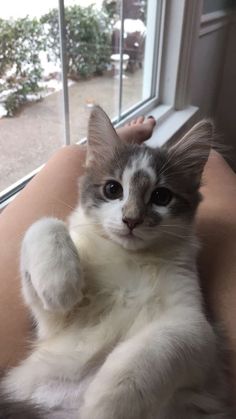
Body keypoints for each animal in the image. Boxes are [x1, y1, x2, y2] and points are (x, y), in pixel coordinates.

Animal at [0, 106, 232, 418]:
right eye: (113, 189)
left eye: (161, 196)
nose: (131, 220)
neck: (129, 259)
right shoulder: (53, 326)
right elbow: (45, 223)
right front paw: (60, 284)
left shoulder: (196, 326)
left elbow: (154, 349)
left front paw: (107, 403)